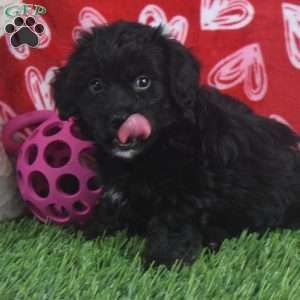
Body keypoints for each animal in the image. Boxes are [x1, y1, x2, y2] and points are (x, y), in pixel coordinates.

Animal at [52, 20, 300, 264]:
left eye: (143, 82)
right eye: (95, 85)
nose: (119, 119)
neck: (160, 142)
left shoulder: (188, 186)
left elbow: (172, 221)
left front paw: (163, 260)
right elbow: (110, 207)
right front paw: (90, 230)